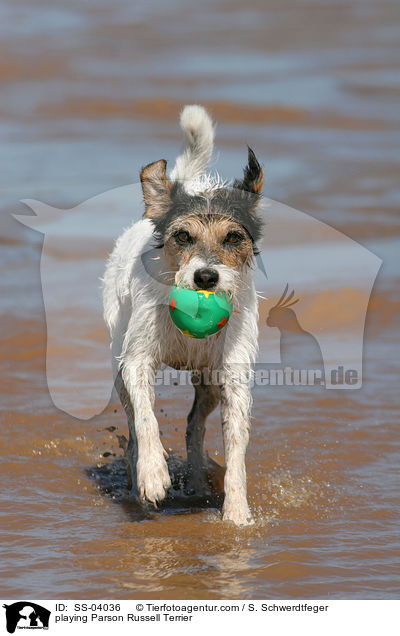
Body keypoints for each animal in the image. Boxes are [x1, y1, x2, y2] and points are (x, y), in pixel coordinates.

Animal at [101, 104, 264, 524]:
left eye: (233, 238)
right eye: (183, 236)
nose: (206, 277)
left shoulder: (234, 375)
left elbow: (236, 441)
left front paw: (237, 512)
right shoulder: (137, 360)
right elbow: (146, 419)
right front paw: (153, 474)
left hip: (208, 382)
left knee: (194, 428)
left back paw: (196, 483)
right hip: (119, 362)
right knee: (133, 423)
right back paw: (138, 478)